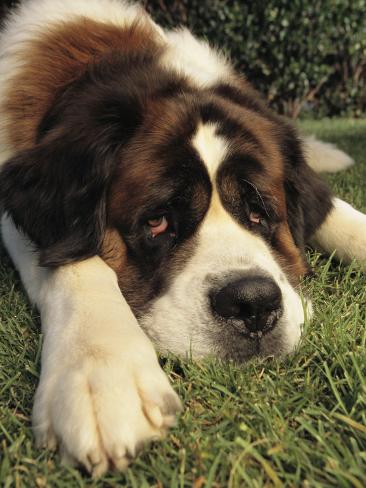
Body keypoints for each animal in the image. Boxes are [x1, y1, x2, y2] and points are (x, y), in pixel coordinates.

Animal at [0, 0, 366, 476]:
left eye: (259, 211)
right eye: (157, 222)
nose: (252, 304)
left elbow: (336, 211)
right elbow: (74, 260)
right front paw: (103, 371)